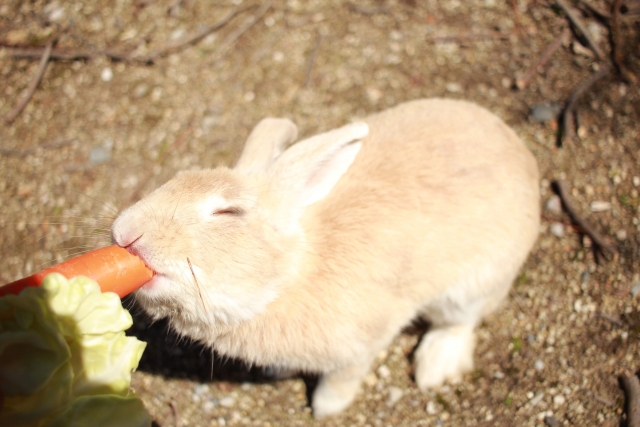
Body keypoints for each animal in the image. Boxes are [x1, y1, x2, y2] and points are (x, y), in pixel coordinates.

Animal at [111, 98, 540, 418]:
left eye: (228, 212)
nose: (125, 234)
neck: (289, 278)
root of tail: (523, 158)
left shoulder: (361, 347)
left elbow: (342, 380)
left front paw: (325, 410)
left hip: (473, 285)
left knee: (460, 323)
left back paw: (434, 366)